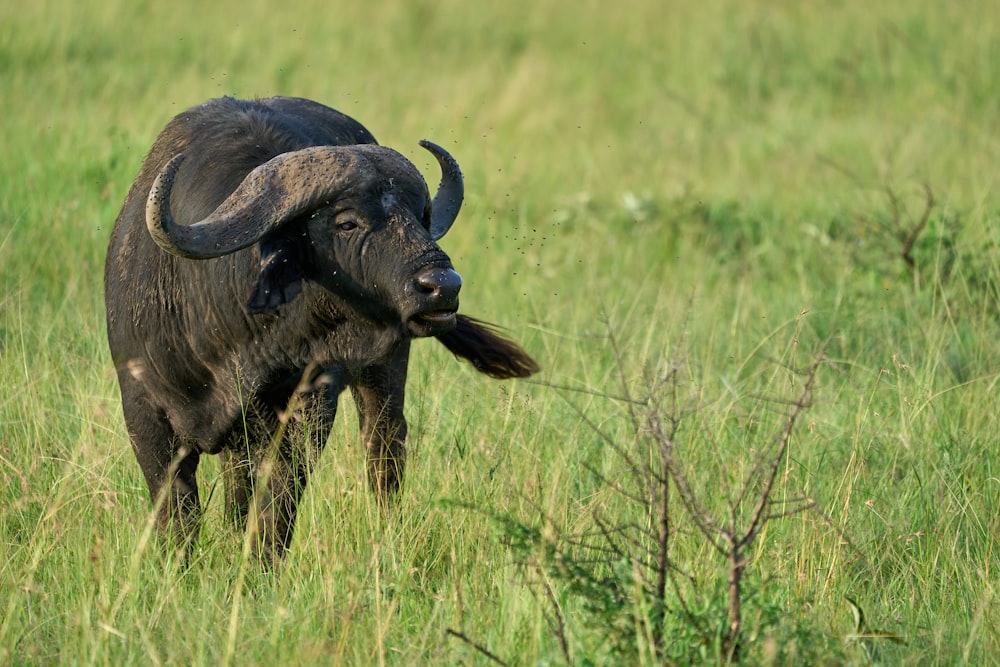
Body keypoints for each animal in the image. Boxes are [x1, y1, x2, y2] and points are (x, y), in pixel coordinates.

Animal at [104, 95, 536, 564]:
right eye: (347, 222)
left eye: (418, 217)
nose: (443, 286)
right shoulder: (143, 413)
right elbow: (178, 514)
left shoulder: (305, 410)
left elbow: (276, 507)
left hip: (384, 370)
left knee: (384, 451)